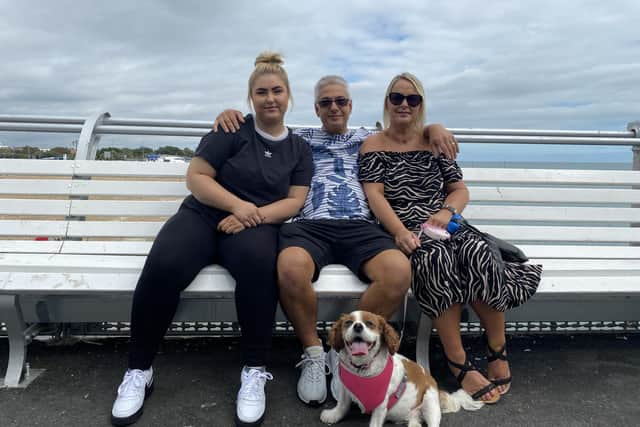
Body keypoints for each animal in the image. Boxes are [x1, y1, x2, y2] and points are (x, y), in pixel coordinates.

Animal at [322, 310, 482, 427]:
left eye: (369, 324)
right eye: (348, 323)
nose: (357, 326)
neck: (362, 369)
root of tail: (438, 391)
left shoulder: (381, 403)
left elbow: (374, 422)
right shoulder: (345, 389)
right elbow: (342, 405)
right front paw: (333, 415)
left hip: (429, 402)